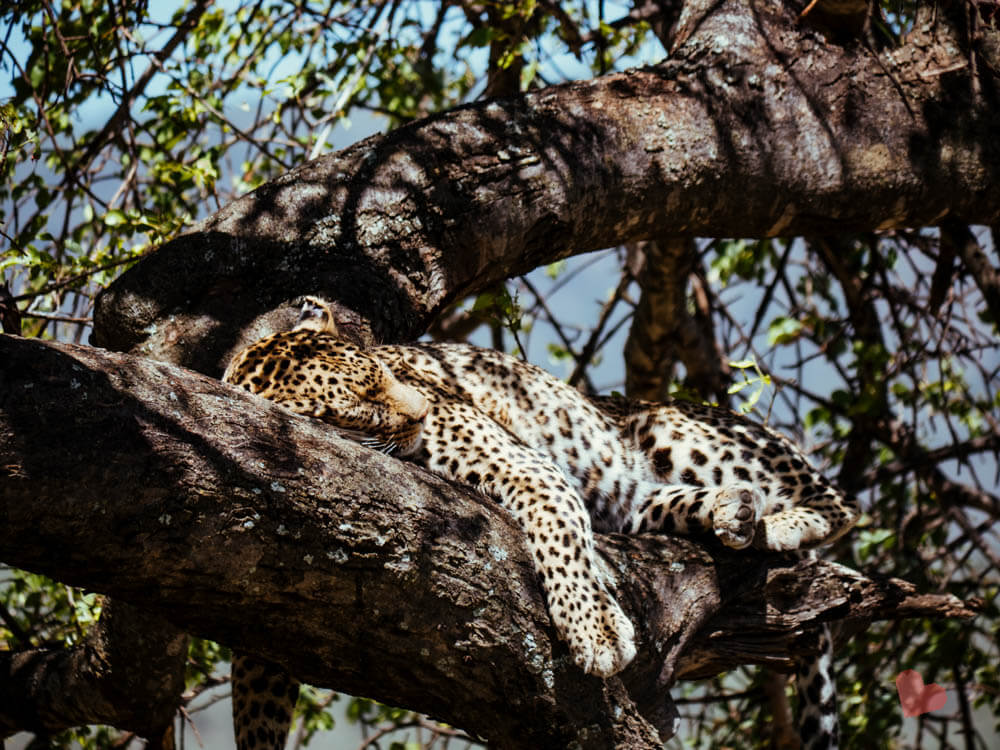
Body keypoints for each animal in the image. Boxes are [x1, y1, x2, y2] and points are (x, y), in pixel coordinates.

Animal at [221, 298, 860, 750]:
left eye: (383, 369)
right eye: (361, 404)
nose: (426, 410)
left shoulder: (529, 466)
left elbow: (561, 532)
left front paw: (596, 632)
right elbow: (257, 683)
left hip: (678, 433)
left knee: (841, 504)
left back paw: (781, 523)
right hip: (640, 497)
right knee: (666, 504)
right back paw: (735, 511)